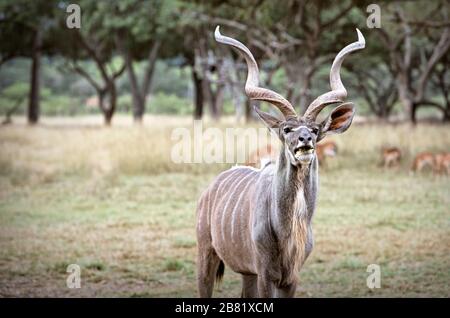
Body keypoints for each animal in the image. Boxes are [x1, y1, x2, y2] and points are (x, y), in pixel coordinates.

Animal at [195, 26, 364, 296]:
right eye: (286, 129)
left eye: (315, 130)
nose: (305, 140)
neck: (288, 231)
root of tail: (210, 188)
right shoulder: (266, 274)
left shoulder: (290, 278)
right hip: (206, 253)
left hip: (247, 273)